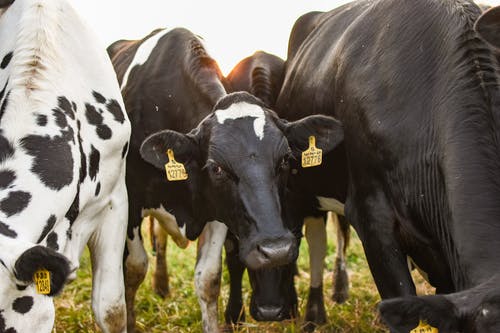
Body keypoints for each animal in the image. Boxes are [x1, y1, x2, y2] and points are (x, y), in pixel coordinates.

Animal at [107, 29, 342, 332]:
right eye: (216, 168)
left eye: (285, 160)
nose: (275, 249)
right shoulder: (130, 202)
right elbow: (134, 268)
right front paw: (130, 321)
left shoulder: (219, 211)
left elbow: (208, 278)